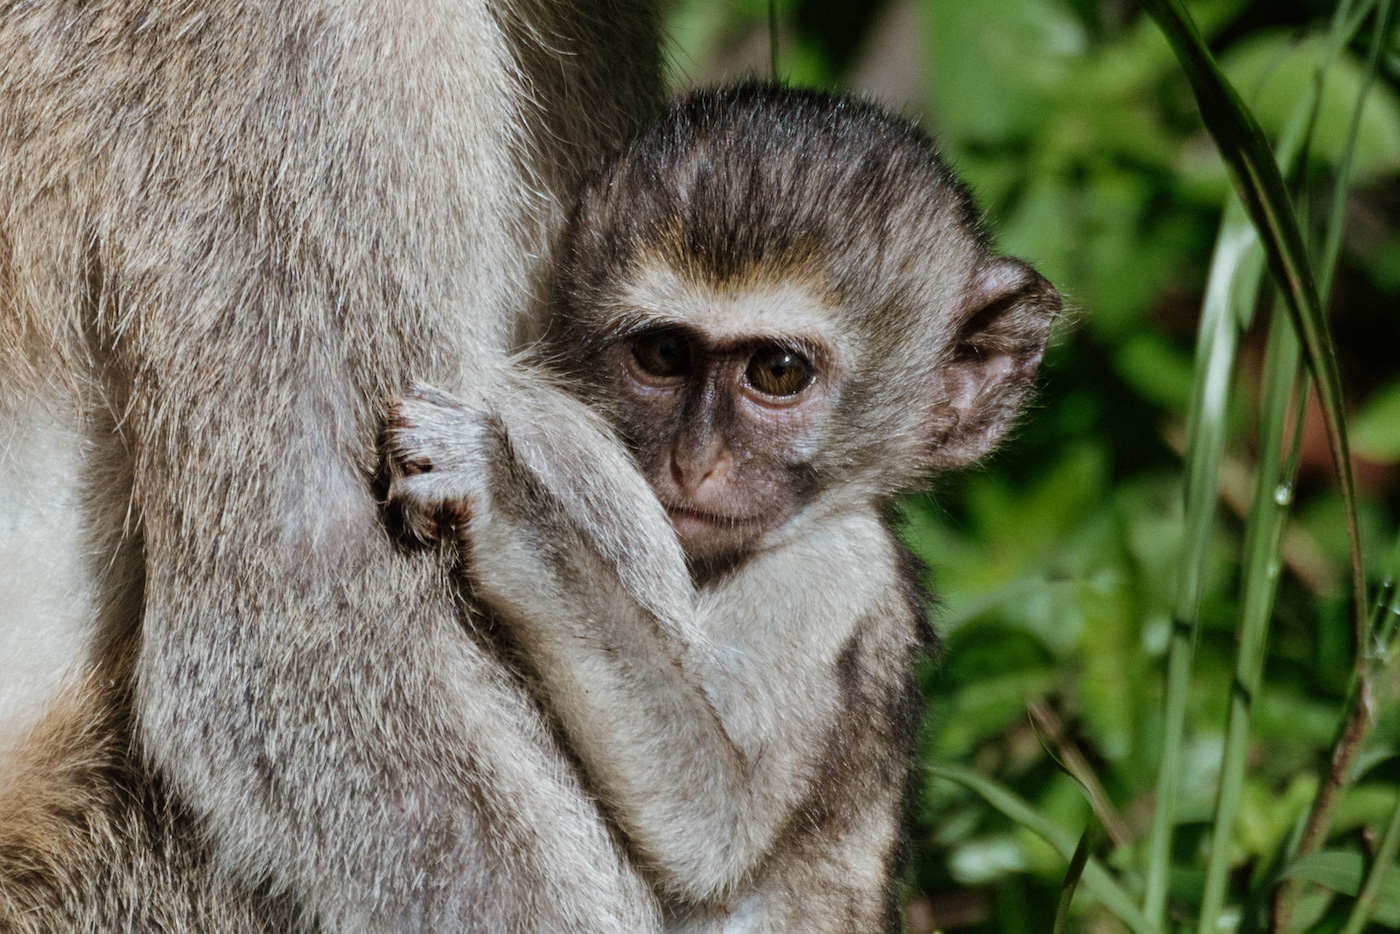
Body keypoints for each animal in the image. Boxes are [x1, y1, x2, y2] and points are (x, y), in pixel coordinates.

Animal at [383, 84, 1058, 929]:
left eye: (776, 371)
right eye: (664, 355)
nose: (693, 461)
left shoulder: (833, 571)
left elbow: (715, 825)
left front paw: (506, 495)